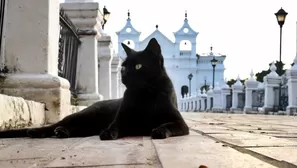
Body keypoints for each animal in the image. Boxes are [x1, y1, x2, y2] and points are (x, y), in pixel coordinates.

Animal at [0, 38, 188, 139]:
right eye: (123, 67)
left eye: (138, 66)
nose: (124, 75)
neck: (146, 94)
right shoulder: (122, 119)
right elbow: (114, 125)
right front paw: (108, 133)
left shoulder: (180, 123)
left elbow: (167, 124)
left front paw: (159, 130)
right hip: (84, 115)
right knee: (56, 125)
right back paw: (38, 131)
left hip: (88, 126)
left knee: (73, 129)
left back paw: (62, 132)